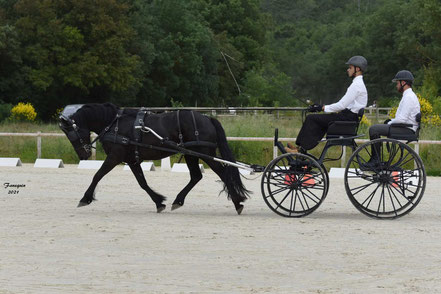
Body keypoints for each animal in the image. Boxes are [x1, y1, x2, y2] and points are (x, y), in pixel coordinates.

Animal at [58, 103, 249, 214]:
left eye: (71, 133)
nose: (83, 155)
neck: (114, 124)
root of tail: (208, 118)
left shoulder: (115, 156)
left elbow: (97, 175)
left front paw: (85, 198)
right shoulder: (132, 160)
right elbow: (142, 182)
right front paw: (159, 202)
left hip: (204, 153)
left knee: (223, 174)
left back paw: (237, 202)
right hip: (191, 154)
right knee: (196, 176)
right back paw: (178, 201)